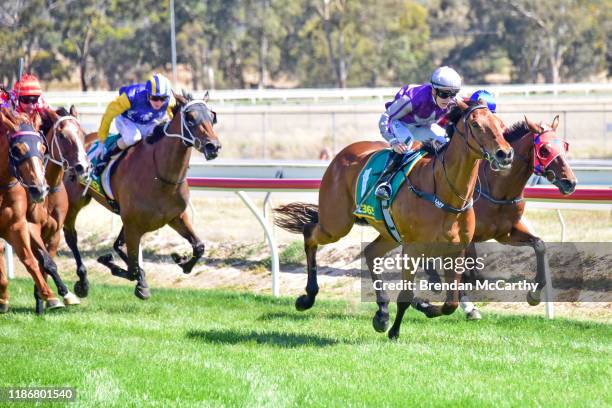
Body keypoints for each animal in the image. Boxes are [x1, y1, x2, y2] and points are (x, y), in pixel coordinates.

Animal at [0, 107, 62, 312]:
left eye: (43, 148)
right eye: (17, 149)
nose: (39, 189)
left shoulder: (16, 225)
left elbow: (30, 260)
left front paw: (50, 296)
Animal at [63, 93, 221, 300]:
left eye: (212, 117)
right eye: (190, 117)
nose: (213, 146)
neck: (161, 175)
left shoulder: (176, 216)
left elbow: (199, 246)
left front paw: (182, 261)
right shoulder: (133, 224)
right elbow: (132, 270)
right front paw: (128, 275)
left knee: (118, 245)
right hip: (76, 201)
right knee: (71, 235)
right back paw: (83, 282)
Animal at [274, 100, 512, 340]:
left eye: (500, 124)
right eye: (475, 124)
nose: (505, 154)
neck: (445, 192)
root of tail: (342, 153)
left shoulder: (456, 249)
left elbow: (450, 304)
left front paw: (424, 307)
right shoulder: (413, 248)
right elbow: (406, 296)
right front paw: (395, 331)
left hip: (388, 232)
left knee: (370, 252)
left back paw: (382, 312)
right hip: (336, 223)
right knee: (309, 233)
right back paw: (307, 298)